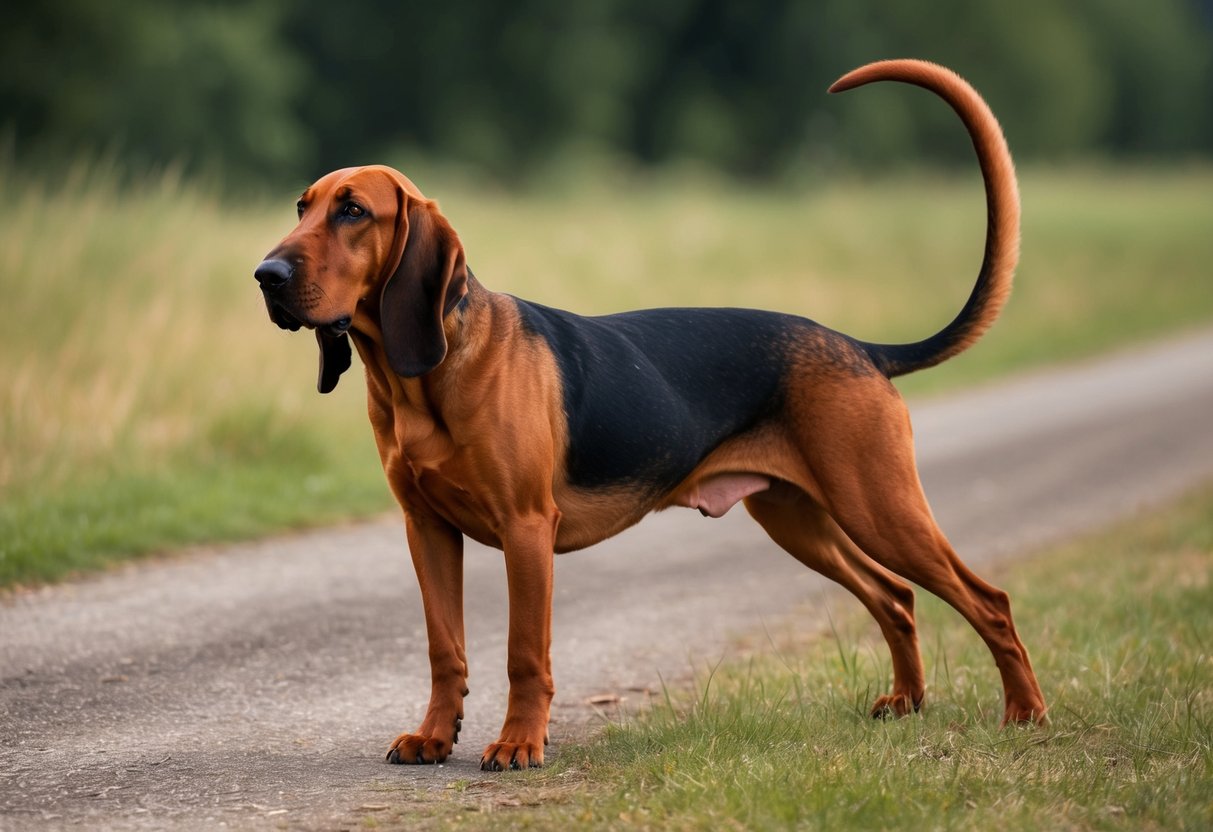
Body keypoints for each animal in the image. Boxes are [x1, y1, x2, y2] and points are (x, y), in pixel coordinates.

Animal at [253, 61, 1043, 771]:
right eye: (301, 208)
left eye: (353, 211)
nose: (266, 275)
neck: (425, 380)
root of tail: (858, 347)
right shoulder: (428, 530)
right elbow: (445, 649)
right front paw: (433, 737)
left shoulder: (525, 531)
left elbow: (523, 654)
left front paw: (518, 745)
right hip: (800, 518)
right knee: (896, 597)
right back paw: (907, 703)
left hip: (878, 506)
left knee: (988, 600)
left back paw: (1025, 714)